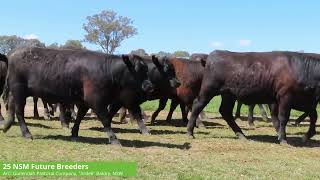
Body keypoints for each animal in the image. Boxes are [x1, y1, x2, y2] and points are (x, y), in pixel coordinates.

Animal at [1, 46, 154, 145]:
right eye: (138, 69)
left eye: (147, 69)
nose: (149, 86)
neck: (107, 70)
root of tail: (13, 53)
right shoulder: (96, 101)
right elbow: (105, 119)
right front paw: (113, 138)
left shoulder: (85, 102)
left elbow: (80, 116)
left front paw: (74, 133)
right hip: (19, 91)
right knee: (19, 112)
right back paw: (27, 133)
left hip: (16, 93)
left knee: (12, 108)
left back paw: (7, 126)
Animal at [188, 50, 320, 143]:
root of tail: (211, 56)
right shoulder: (285, 97)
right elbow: (283, 118)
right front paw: (283, 138)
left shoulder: (306, 101)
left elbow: (313, 115)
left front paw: (307, 135)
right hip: (208, 90)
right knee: (197, 105)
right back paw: (190, 132)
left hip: (228, 95)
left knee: (225, 111)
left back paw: (241, 134)